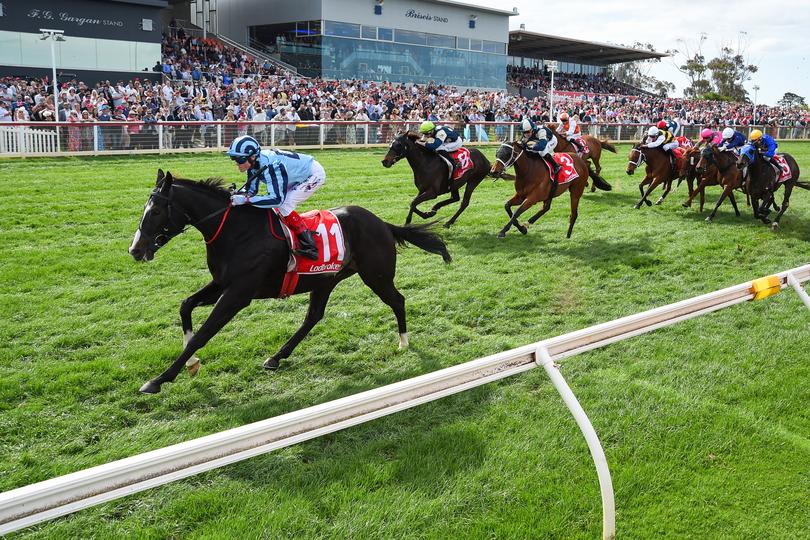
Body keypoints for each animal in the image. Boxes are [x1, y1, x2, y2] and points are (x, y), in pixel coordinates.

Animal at [129, 169, 452, 392]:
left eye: (155, 211)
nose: (135, 249)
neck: (236, 231)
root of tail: (382, 223)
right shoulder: (221, 283)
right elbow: (185, 306)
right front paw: (192, 364)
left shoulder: (238, 294)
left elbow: (203, 334)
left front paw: (159, 379)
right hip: (327, 280)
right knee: (313, 316)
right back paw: (276, 357)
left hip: (377, 275)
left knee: (397, 300)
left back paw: (403, 341)